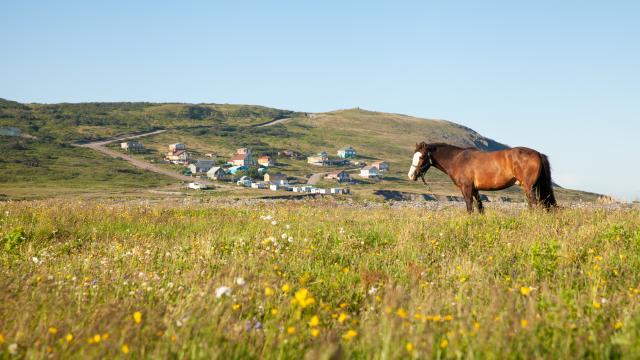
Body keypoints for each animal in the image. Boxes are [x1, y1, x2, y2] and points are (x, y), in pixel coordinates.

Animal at [410, 142, 556, 212]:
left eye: (421, 157)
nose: (411, 175)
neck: (457, 159)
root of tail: (537, 153)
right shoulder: (475, 189)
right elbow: (480, 208)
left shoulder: (466, 188)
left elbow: (470, 208)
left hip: (529, 187)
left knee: (535, 205)